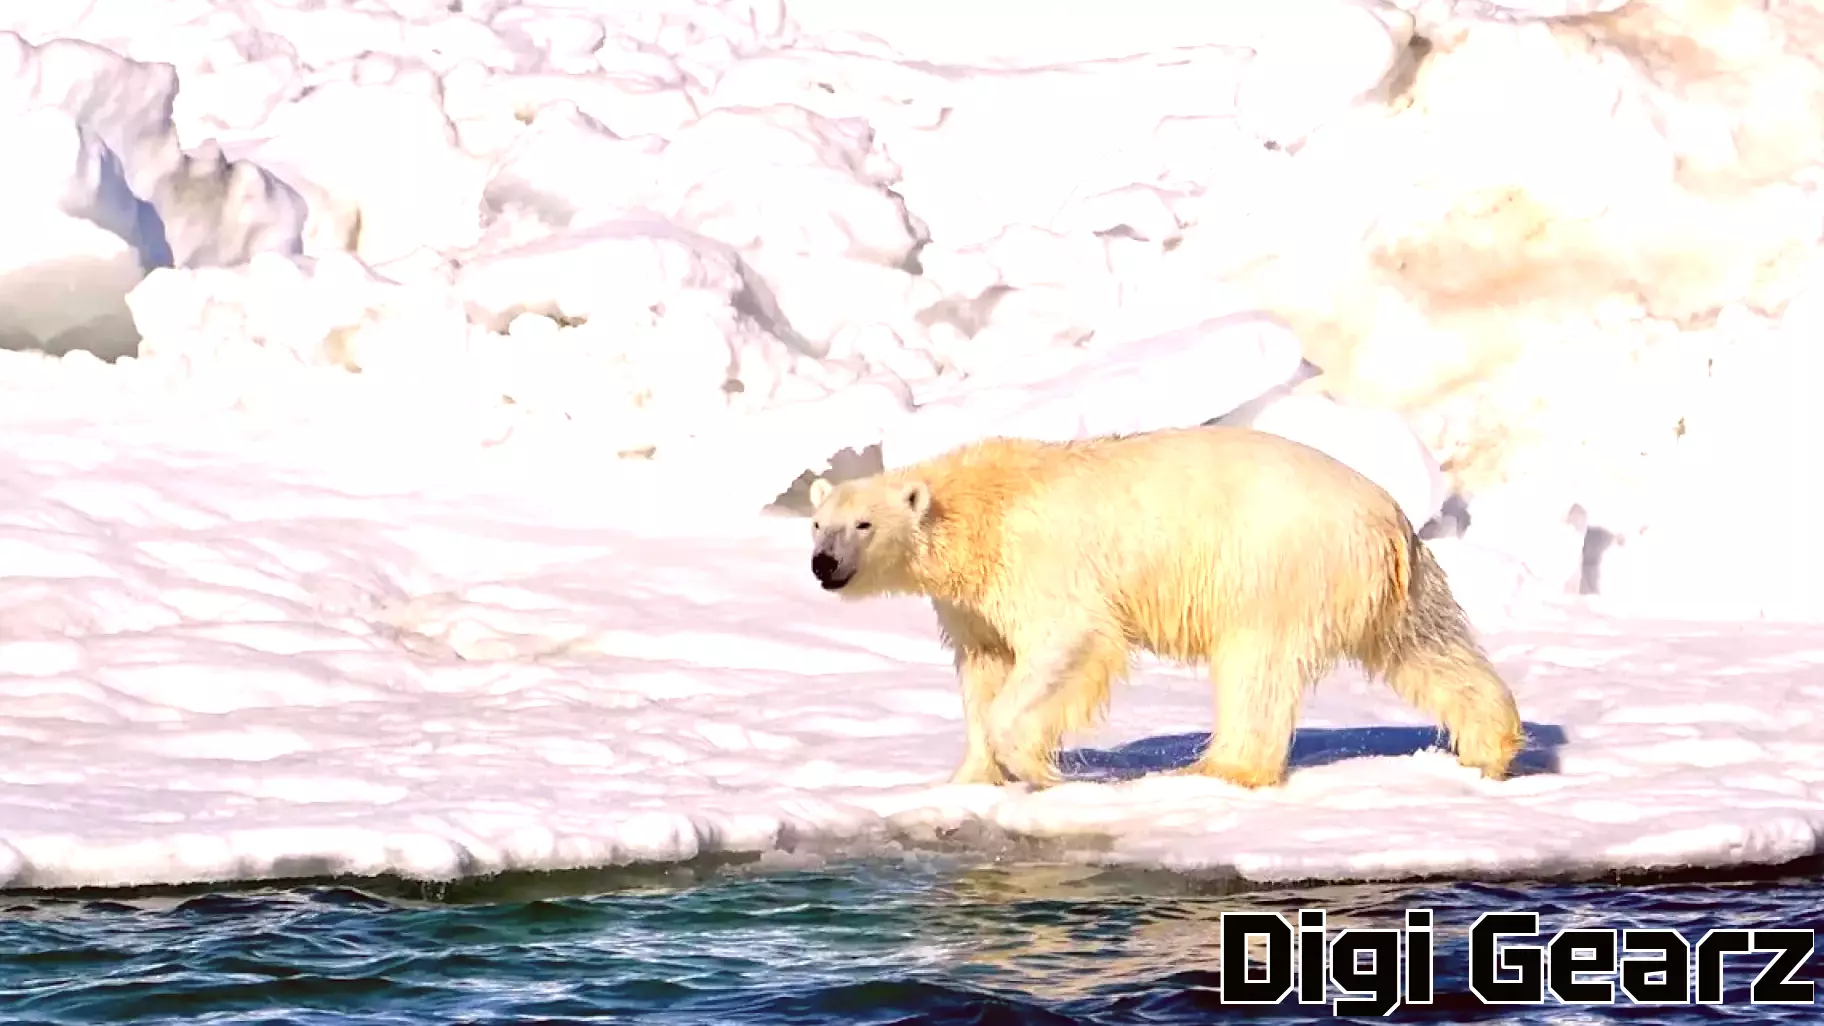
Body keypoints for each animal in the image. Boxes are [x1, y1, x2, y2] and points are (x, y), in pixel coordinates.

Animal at [805, 424, 1526, 790]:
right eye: (817, 524)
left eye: (863, 524)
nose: (824, 565)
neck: (981, 506)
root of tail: (1387, 520)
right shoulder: (973, 602)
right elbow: (984, 666)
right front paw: (970, 777)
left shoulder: (1042, 563)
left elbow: (1068, 642)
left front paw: (1034, 766)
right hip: (1393, 583)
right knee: (1429, 645)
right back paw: (1489, 747)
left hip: (1274, 565)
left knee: (1255, 667)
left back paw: (1219, 768)